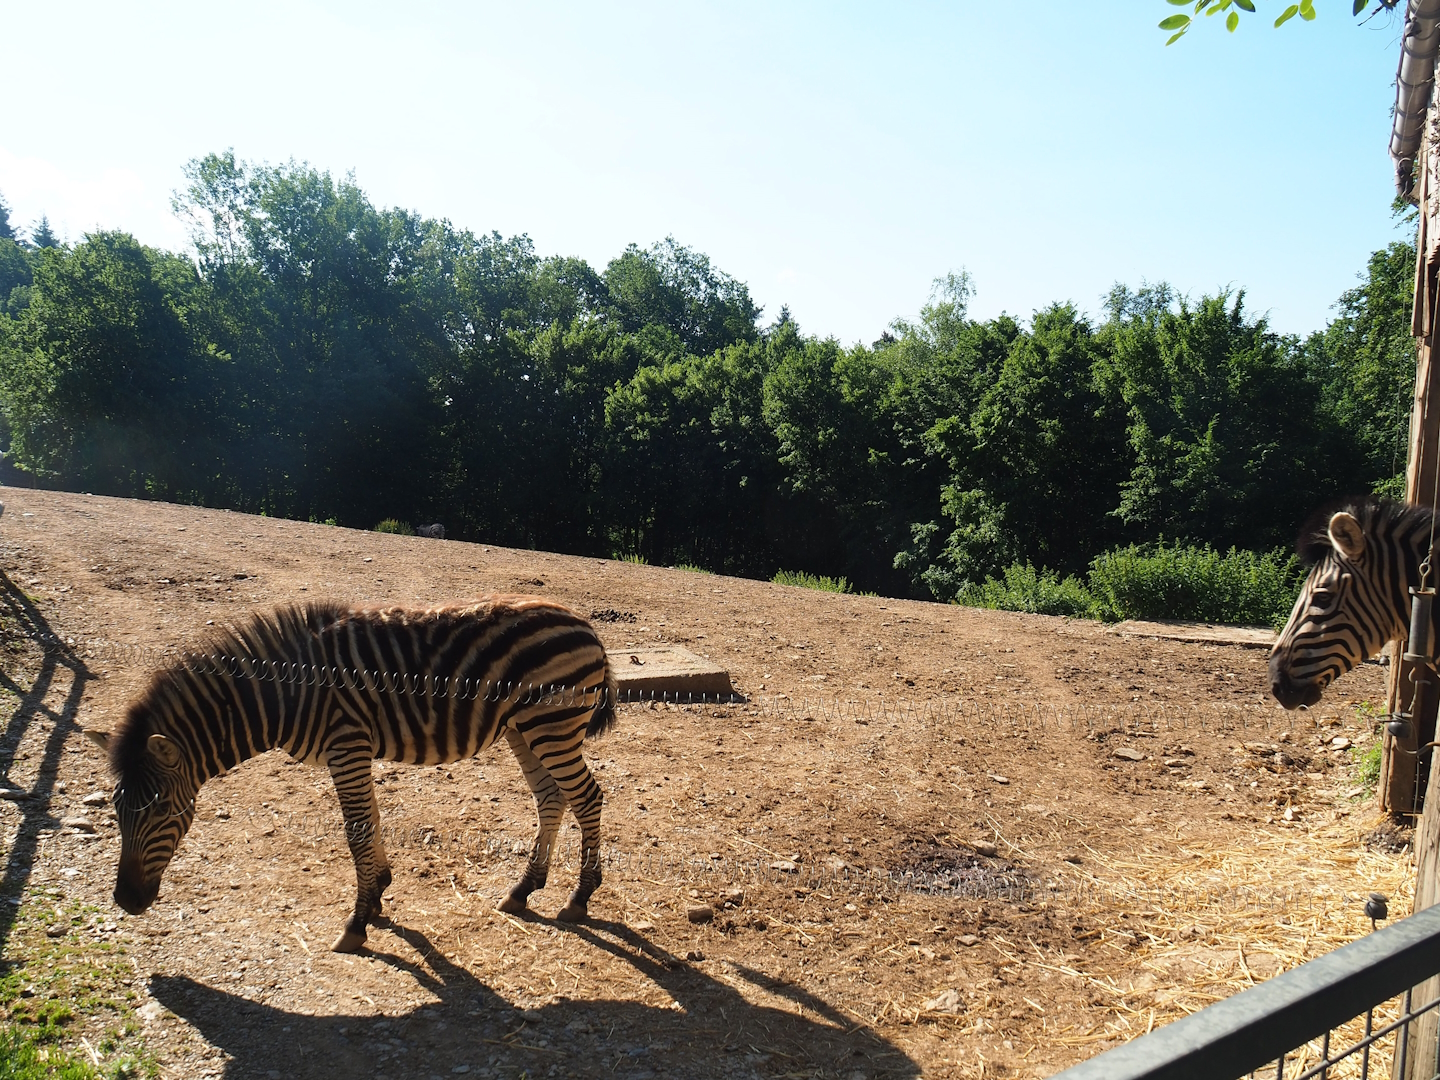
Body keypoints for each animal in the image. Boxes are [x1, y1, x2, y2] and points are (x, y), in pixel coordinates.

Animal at [83, 596, 618, 952]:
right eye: (116, 810)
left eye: (162, 811)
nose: (126, 901)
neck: (288, 695)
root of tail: (583, 622)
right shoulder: (352, 753)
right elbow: (371, 823)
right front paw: (379, 893)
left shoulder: (348, 746)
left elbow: (357, 831)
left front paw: (357, 924)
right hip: (522, 729)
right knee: (551, 798)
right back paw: (524, 890)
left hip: (551, 724)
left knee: (587, 797)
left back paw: (580, 897)